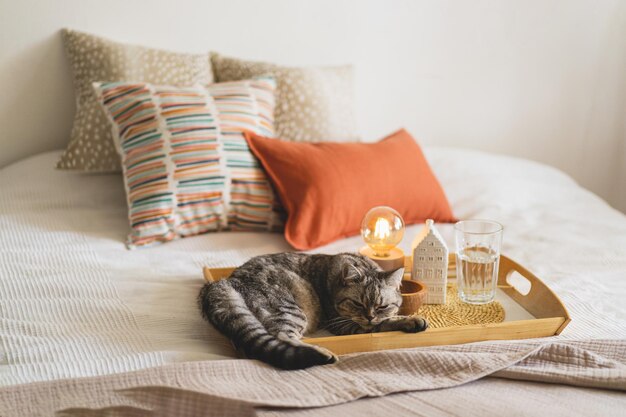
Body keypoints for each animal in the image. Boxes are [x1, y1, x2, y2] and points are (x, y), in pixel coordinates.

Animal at [197, 252, 426, 368]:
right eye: (358, 304)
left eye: (382, 306)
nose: (369, 317)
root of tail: (226, 280)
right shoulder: (343, 324)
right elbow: (384, 324)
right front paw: (410, 320)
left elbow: (384, 320)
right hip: (290, 308)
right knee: (282, 334)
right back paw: (322, 352)